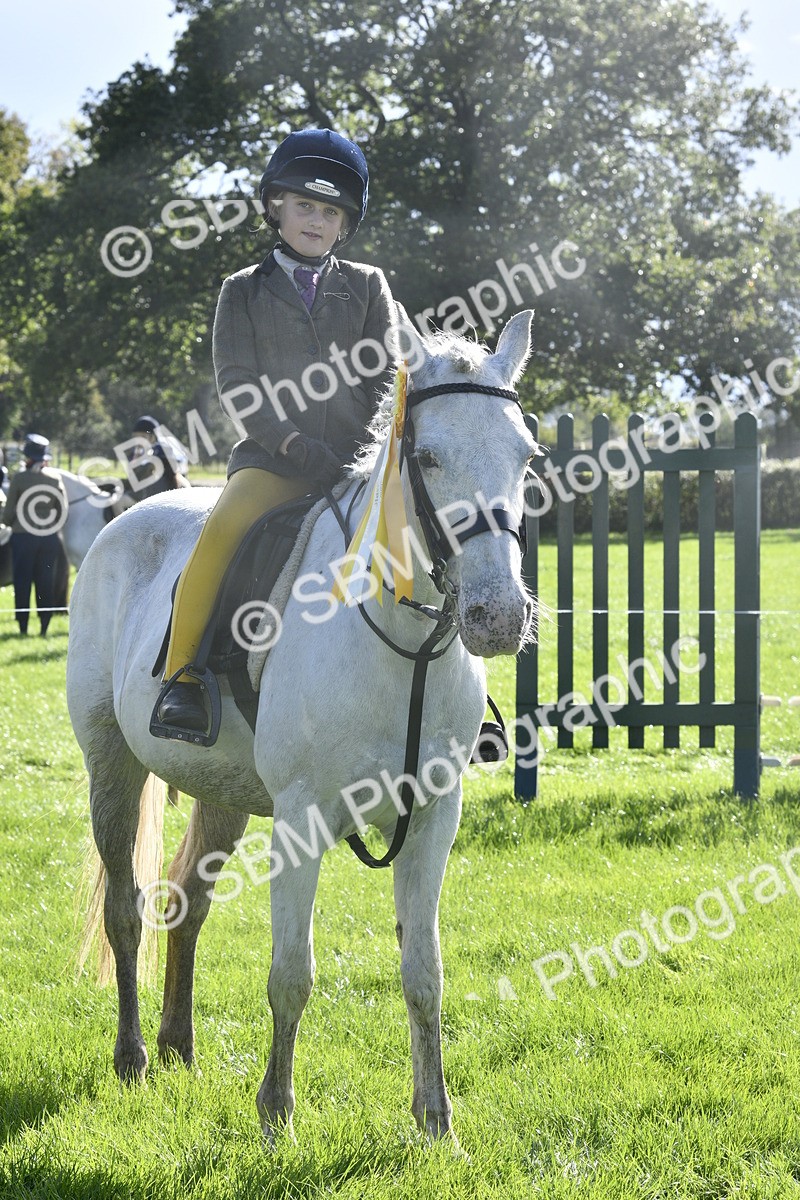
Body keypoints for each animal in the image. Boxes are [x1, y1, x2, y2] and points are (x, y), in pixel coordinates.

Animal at [66, 310, 537, 1144]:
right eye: (430, 457)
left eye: (527, 456)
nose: (499, 616)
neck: (398, 642)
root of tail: (128, 518)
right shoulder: (301, 818)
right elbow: (292, 973)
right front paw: (277, 1113)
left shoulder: (433, 819)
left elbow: (424, 972)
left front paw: (436, 1120)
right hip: (112, 766)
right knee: (126, 911)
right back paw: (133, 1058)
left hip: (220, 795)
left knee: (184, 905)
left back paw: (178, 1046)